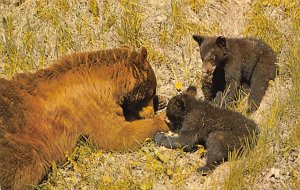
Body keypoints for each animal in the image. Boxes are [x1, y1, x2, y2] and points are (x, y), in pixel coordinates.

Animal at [0, 45, 169, 189]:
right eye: (151, 90)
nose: (152, 110)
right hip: (24, 147)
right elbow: (117, 135)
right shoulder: (92, 105)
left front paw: (162, 101)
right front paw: (163, 119)